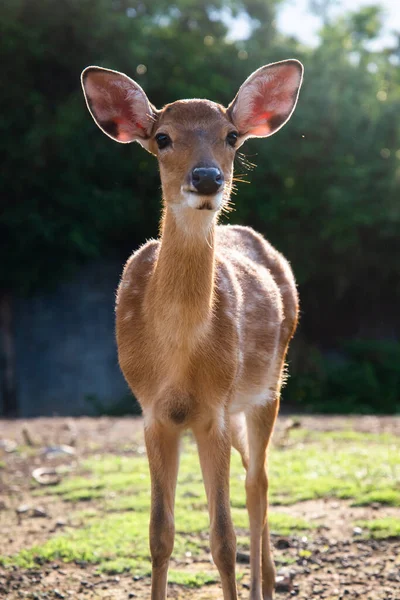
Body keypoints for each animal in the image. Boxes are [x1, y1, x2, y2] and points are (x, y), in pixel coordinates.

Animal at [81, 59, 304, 600]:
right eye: (162, 137)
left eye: (231, 136)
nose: (206, 178)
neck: (180, 352)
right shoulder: (153, 412)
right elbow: (159, 533)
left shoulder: (213, 411)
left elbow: (222, 538)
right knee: (253, 477)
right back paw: (268, 580)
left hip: (269, 386)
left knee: (258, 483)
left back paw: (264, 587)